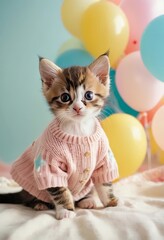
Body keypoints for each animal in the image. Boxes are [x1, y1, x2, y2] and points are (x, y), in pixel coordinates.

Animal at [0, 52, 118, 219]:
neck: (78, 130)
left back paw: (87, 200)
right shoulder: (49, 165)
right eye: (65, 97)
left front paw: (111, 202)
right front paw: (66, 210)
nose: (77, 108)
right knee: (27, 199)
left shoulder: (104, 159)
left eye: (88, 95)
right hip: (31, 186)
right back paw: (39, 204)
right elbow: (60, 190)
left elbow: (104, 184)